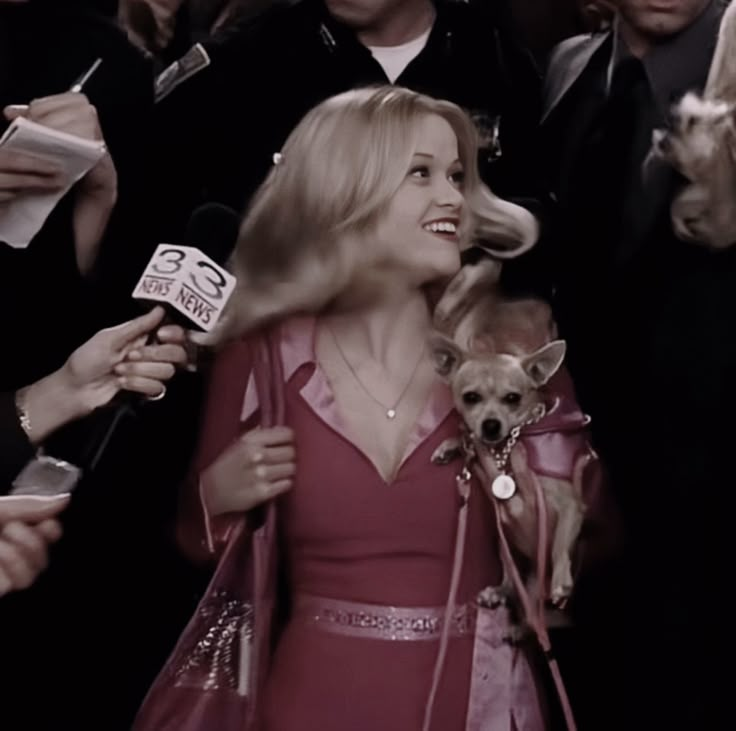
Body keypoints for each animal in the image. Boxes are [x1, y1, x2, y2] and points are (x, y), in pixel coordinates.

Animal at [432, 260, 588, 616]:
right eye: (470, 397)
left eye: (514, 398)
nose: (491, 425)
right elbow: (467, 436)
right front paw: (452, 444)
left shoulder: (571, 505)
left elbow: (560, 546)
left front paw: (560, 580)